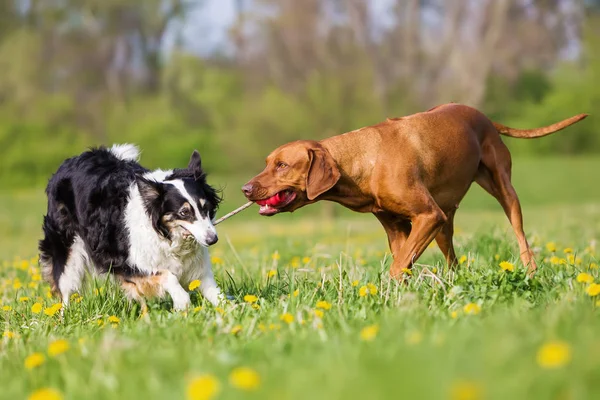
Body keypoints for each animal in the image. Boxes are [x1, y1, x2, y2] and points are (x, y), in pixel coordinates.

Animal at [39, 145, 225, 310]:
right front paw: (181, 302)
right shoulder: (127, 262)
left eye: (206, 207)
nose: (213, 239)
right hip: (67, 249)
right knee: (65, 288)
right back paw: (65, 316)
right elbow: (167, 276)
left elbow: (218, 296)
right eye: (184, 212)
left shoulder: (199, 269)